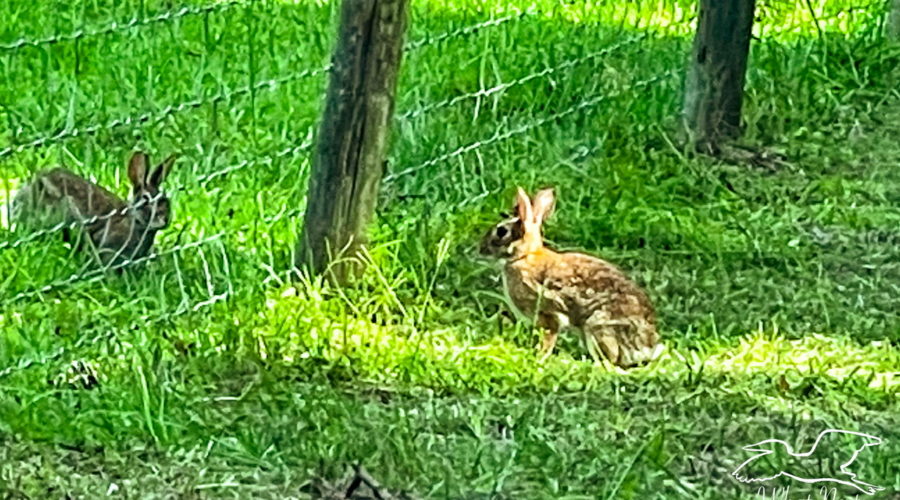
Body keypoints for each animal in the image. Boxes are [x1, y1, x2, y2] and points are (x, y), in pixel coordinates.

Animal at [480, 187, 663, 368]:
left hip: (597, 326)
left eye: (501, 231)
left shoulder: (548, 314)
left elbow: (549, 336)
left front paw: (539, 358)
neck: (524, 256)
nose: (480, 249)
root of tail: (647, 348)